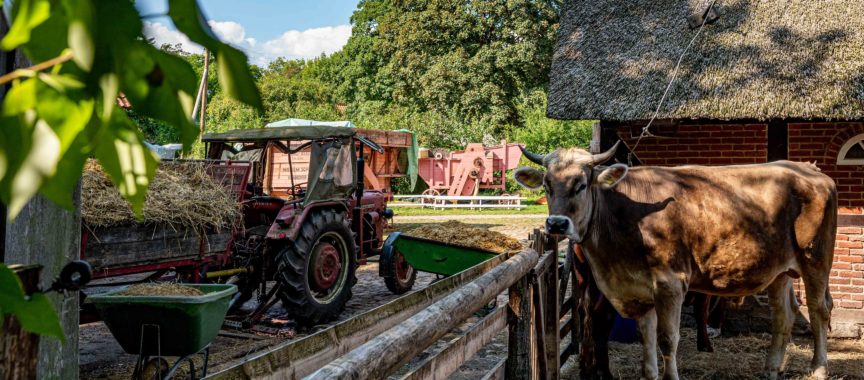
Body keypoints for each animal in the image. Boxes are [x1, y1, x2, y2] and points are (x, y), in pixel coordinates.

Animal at [516, 143, 832, 380]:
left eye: (581, 184)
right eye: (546, 185)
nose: (556, 224)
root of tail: (810, 169)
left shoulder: (670, 284)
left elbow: (667, 340)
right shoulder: (638, 289)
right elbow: (646, 341)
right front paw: (649, 374)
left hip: (815, 258)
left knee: (819, 309)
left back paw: (818, 369)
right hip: (779, 271)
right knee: (784, 314)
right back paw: (771, 369)